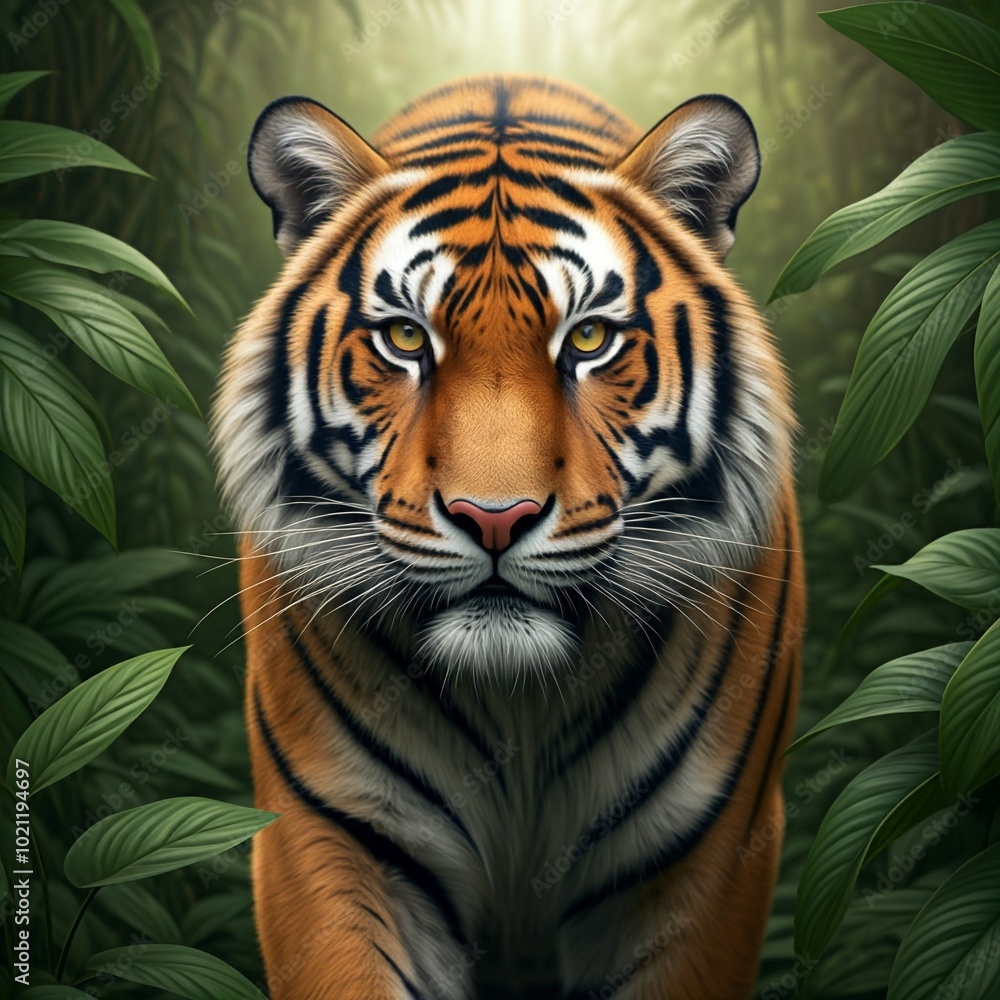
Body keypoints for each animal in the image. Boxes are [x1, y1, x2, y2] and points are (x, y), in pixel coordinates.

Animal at [212, 74, 804, 999]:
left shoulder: (708, 851)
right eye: (405, 337)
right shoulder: (335, 835)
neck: (517, 699)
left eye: (590, 338)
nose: (496, 517)